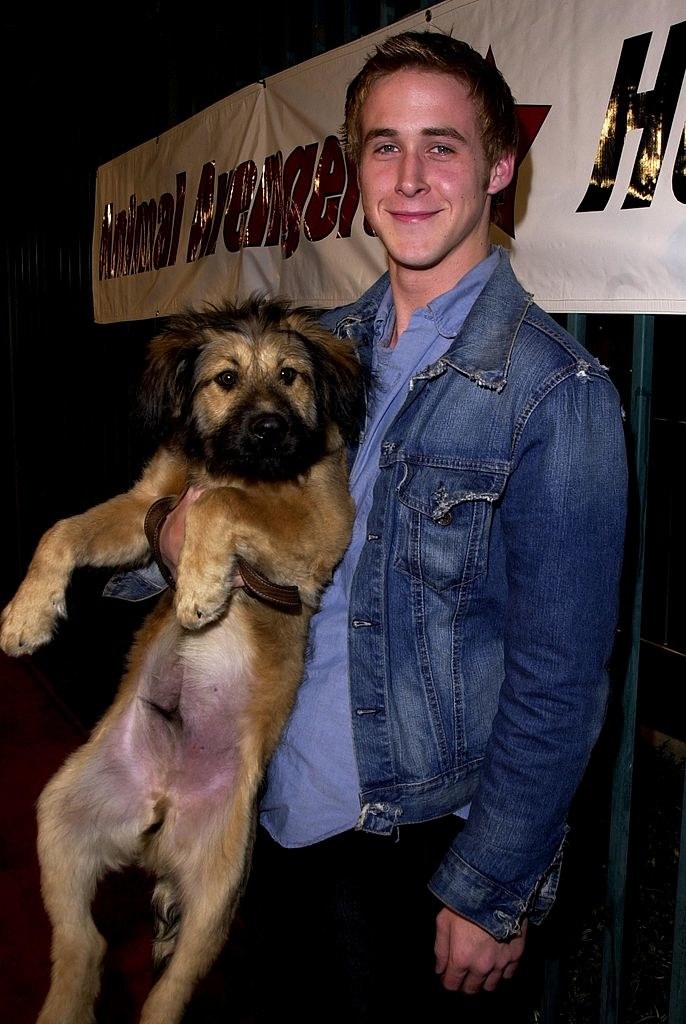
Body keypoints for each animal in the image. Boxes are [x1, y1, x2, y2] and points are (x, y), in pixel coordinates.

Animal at [0, 296, 364, 1024]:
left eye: (290, 376)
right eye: (225, 379)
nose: (270, 428)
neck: (235, 463)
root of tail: (161, 806)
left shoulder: (322, 523)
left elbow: (222, 502)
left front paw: (200, 588)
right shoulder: (149, 505)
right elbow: (61, 531)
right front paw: (26, 616)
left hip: (220, 887)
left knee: (166, 993)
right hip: (59, 812)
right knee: (84, 943)